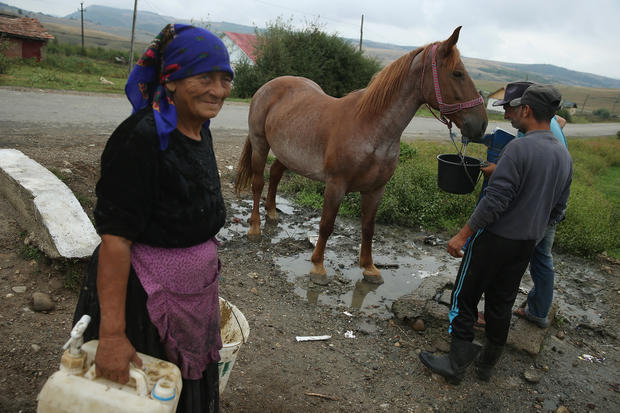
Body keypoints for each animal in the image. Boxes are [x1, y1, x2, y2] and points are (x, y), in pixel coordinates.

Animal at [235, 26, 486, 284]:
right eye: (457, 73)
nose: (480, 124)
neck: (370, 127)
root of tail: (267, 87)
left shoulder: (376, 189)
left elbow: (368, 227)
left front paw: (369, 268)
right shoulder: (336, 185)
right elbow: (326, 224)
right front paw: (318, 267)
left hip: (288, 153)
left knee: (275, 174)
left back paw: (272, 212)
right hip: (260, 144)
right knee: (258, 183)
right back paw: (254, 228)